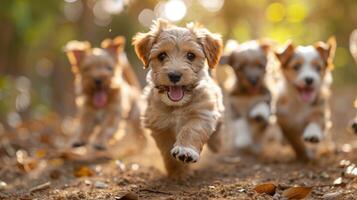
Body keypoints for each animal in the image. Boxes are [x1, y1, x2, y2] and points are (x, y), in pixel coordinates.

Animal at [132, 18, 224, 177]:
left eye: (190, 55)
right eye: (162, 55)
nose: (174, 75)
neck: (178, 105)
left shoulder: (202, 113)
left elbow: (191, 130)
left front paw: (185, 150)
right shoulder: (159, 124)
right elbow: (166, 148)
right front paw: (177, 172)